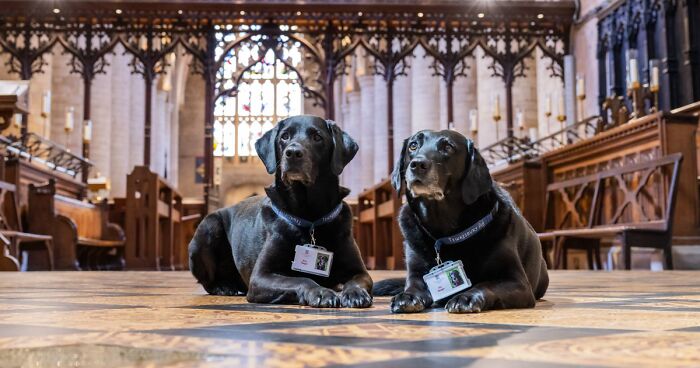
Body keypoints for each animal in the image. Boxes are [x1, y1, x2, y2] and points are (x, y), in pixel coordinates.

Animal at [186, 114, 372, 308]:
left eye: (317, 137)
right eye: (284, 136)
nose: (293, 153)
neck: (308, 214)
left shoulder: (360, 271)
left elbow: (357, 281)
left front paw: (354, 292)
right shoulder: (260, 277)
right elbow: (302, 279)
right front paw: (321, 292)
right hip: (208, 228)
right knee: (206, 281)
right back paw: (223, 287)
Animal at [374, 129, 548, 314]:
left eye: (448, 147)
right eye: (413, 146)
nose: (417, 164)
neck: (443, 229)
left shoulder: (517, 282)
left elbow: (486, 284)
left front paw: (466, 297)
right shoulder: (416, 273)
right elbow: (413, 286)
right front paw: (407, 296)